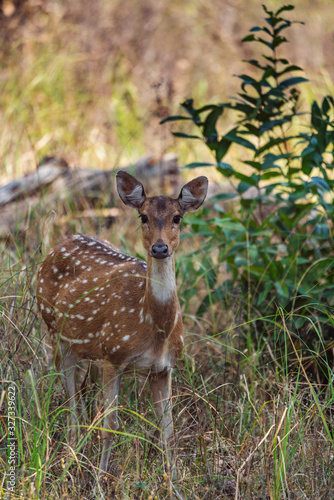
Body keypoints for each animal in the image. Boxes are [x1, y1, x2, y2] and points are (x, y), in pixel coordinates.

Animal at [37, 171, 209, 472]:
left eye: (178, 217)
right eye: (143, 216)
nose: (160, 247)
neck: (153, 327)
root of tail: (59, 244)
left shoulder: (164, 368)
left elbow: (168, 431)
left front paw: (174, 479)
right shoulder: (112, 357)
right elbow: (111, 425)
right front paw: (100, 479)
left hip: (87, 349)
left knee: (84, 396)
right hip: (55, 332)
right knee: (71, 402)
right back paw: (70, 457)